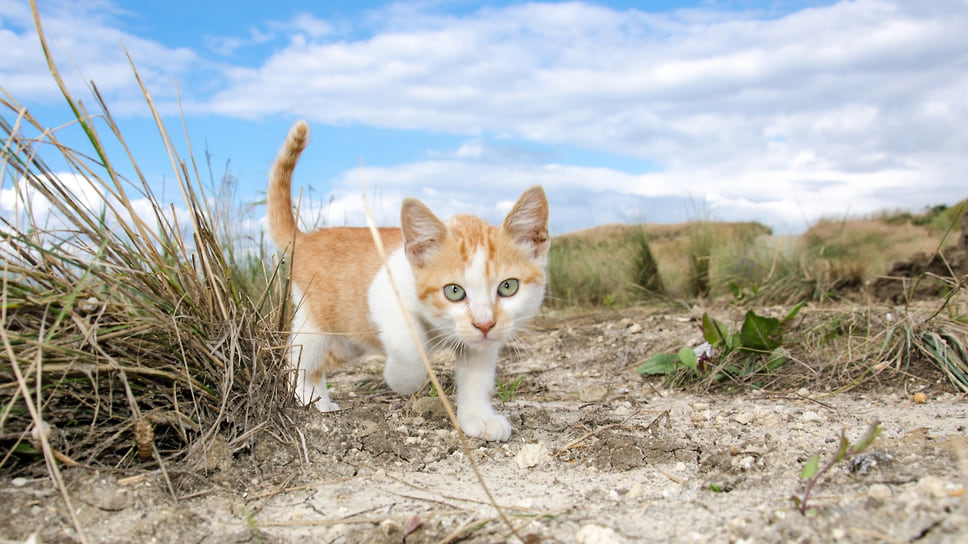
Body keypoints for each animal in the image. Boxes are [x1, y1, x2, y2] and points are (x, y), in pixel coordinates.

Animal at [268, 120, 548, 442]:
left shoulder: (480, 342)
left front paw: (477, 417)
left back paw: (319, 399)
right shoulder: (383, 292)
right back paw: (306, 396)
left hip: (350, 338)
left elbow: (477, 374)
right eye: (454, 291)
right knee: (296, 358)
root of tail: (306, 238)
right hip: (317, 322)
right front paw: (401, 379)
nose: (485, 323)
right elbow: (409, 345)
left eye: (508, 287)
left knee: (320, 362)